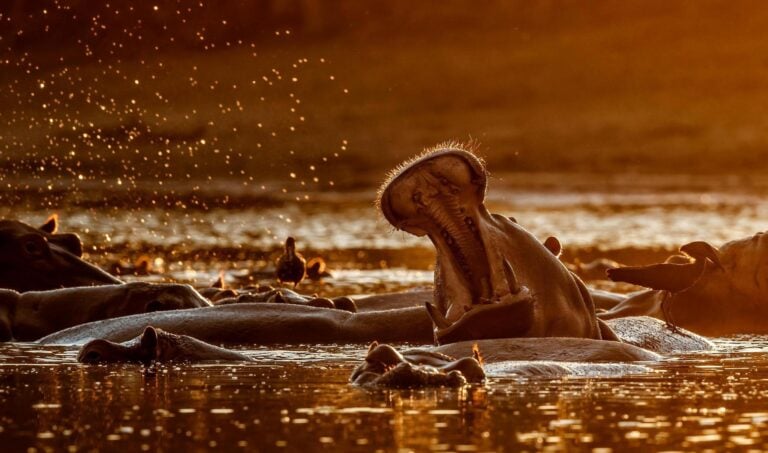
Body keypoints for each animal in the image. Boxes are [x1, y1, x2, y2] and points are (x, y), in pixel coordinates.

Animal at [600, 233, 768, 336]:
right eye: (707, 248)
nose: (720, 266)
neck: (694, 267)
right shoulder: (674, 289)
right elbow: (667, 307)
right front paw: (675, 328)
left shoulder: (669, 289)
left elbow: (664, 306)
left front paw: (670, 326)